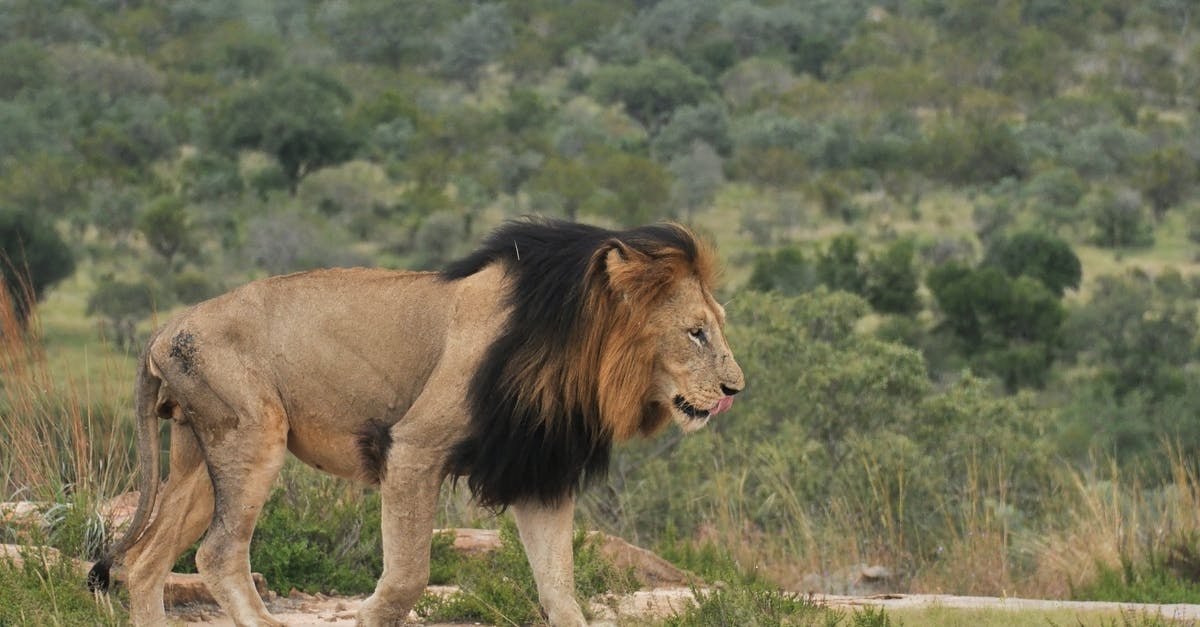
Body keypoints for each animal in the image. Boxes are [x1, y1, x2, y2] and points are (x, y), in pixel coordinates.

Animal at [89, 218, 745, 626]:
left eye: (717, 325)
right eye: (696, 332)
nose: (735, 389)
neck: (577, 357)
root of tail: (164, 329)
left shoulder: (538, 472)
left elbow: (561, 588)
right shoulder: (413, 448)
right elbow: (409, 575)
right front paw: (368, 617)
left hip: (199, 455)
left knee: (146, 561)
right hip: (253, 435)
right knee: (218, 553)